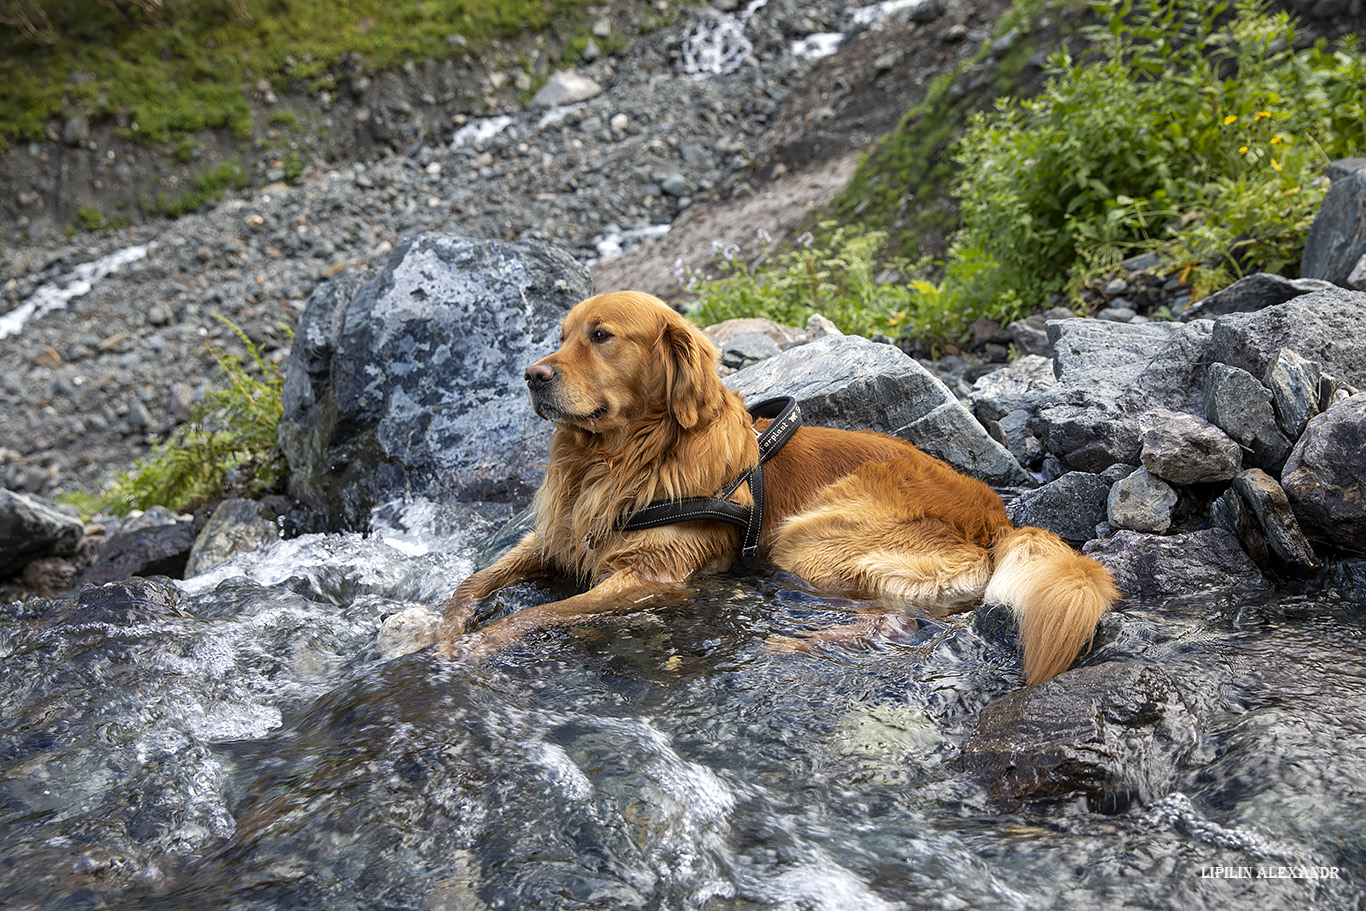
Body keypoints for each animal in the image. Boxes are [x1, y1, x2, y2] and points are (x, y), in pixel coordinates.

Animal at [439, 292, 1120, 682]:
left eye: (601, 336)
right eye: (561, 336)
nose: (531, 376)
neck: (626, 458)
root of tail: (996, 518)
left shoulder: (649, 575)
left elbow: (539, 613)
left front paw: (477, 647)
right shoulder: (558, 537)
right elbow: (471, 582)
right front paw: (442, 630)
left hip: (809, 539)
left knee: (899, 619)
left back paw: (787, 647)